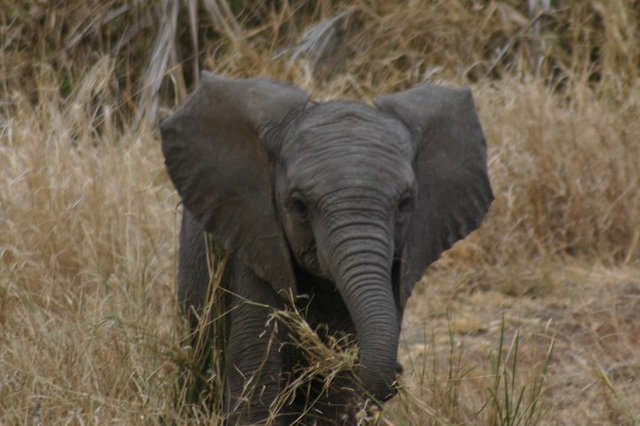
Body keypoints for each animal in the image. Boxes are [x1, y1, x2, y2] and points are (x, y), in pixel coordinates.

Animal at [160, 72, 493, 424]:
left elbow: (338, 396)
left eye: (405, 203)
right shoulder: (254, 241)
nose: (398, 374)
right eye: (298, 205)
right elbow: (256, 377)